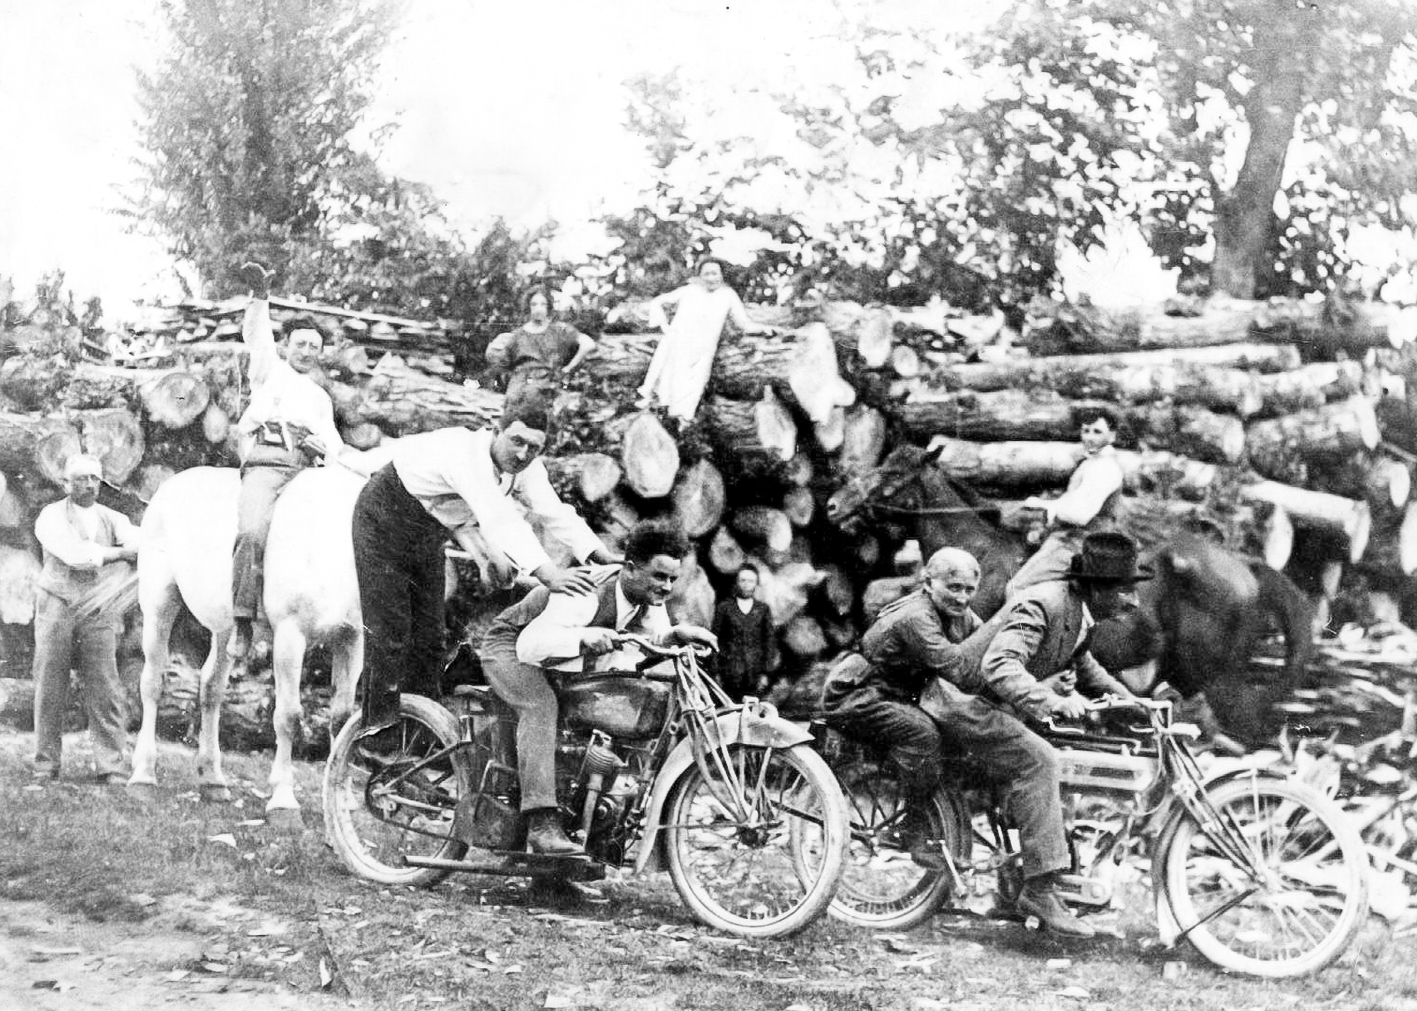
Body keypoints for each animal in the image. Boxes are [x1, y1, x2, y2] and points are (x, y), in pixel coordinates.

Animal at [128, 462, 365, 822]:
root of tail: (170, 485)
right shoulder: (290, 637)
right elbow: (288, 716)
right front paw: (283, 800)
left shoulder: (351, 640)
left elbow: (342, 717)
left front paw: (343, 798)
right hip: (159, 606)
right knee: (152, 685)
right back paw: (143, 777)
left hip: (226, 629)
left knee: (211, 689)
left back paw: (213, 781)